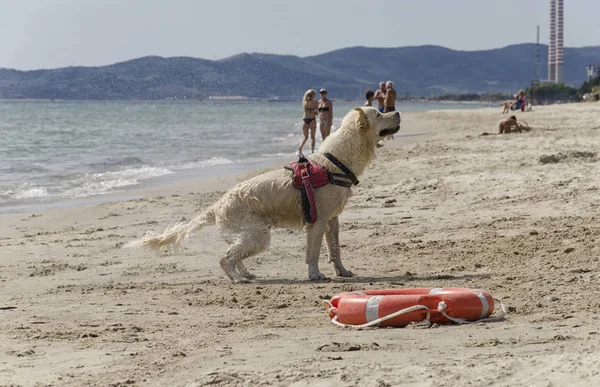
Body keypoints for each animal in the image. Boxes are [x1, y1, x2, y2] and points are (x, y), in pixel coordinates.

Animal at [126, 107, 398, 284]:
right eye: (378, 113)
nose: (398, 113)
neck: (335, 162)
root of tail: (216, 205)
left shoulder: (333, 221)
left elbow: (335, 250)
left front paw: (343, 272)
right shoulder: (318, 222)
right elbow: (313, 253)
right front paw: (315, 276)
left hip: (249, 235)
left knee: (234, 254)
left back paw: (246, 273)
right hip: (258, 236)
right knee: (225, 258)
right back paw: (238, 279)